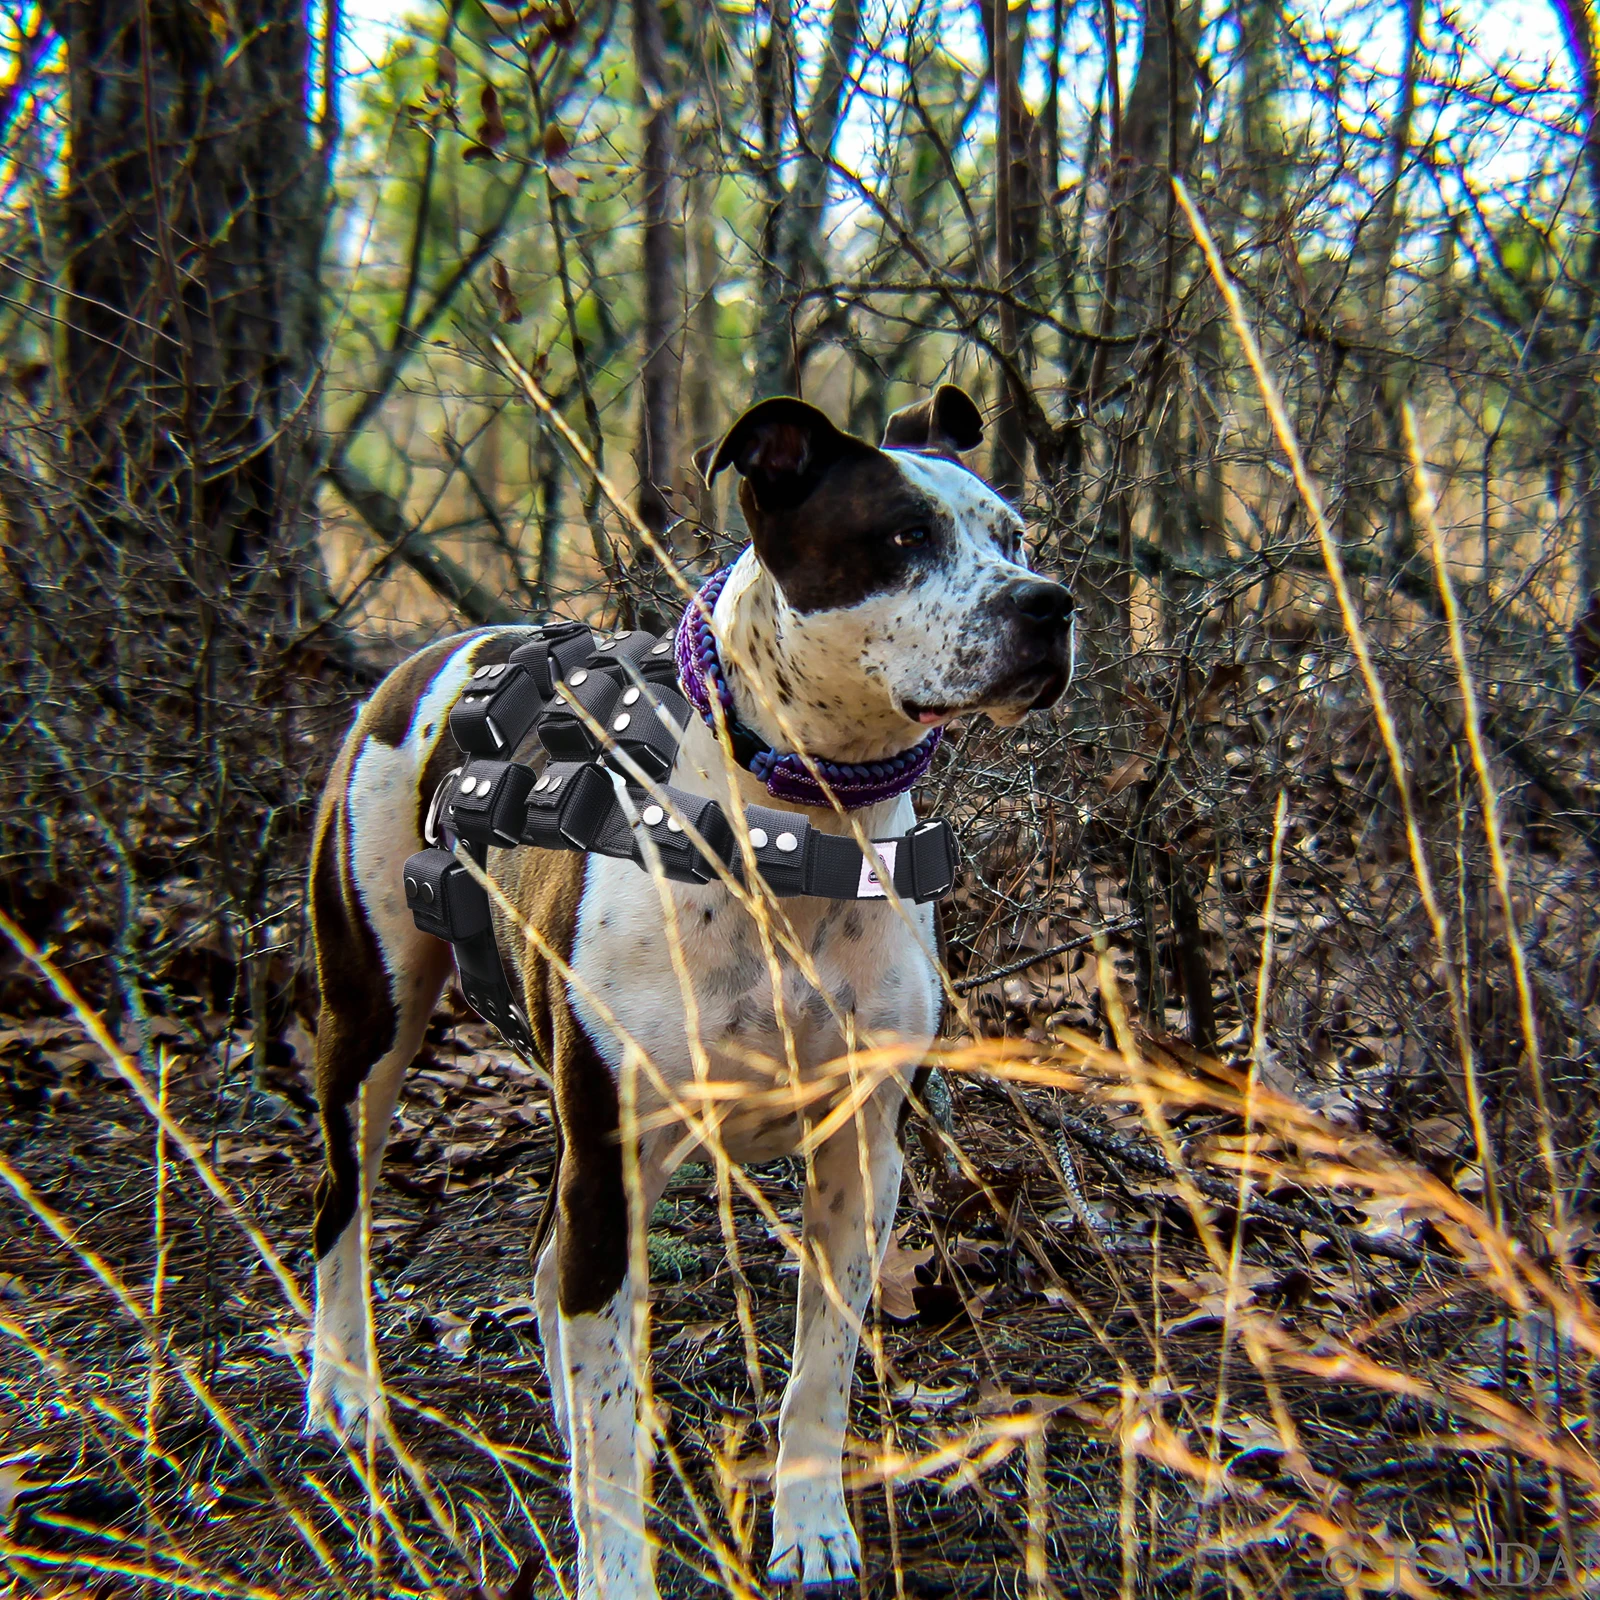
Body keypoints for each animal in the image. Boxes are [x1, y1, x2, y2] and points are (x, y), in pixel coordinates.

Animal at [302, 390, 1075, 1600]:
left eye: (1014, 537)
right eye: (903, 536)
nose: (1051, 606)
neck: (797, 827)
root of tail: (436, 648)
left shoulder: (860, 1160)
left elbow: (819, 1369)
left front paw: (810, 1528)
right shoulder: (613, 1162)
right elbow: (617, 1411)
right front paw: (616, 1562)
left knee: (545, 1275)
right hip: (371, 1022)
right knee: (343, 1203)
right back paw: (343, 1387)